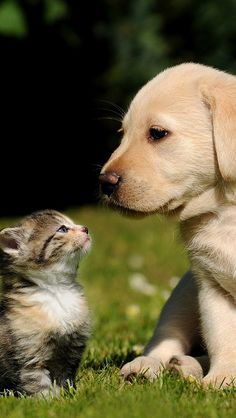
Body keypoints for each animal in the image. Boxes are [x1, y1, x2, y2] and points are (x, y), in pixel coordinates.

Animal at [0, 211, 91, 396]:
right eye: (62, 229)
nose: (85, 228)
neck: (57, 291)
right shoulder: (29, 354)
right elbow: (37, 382)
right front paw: (47, 400)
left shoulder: (70, 351)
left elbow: (64, 378)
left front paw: (66, 396)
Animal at [99, 62, 236, 388]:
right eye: (123, 133)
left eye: (157, 134)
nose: (104, 182)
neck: (224, 212)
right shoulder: (211, 287)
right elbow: (224, 339)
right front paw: (222, 379)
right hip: (183, 293)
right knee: (166, 339)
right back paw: (158, 366)